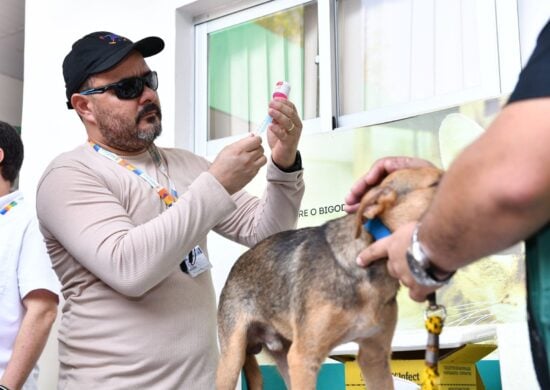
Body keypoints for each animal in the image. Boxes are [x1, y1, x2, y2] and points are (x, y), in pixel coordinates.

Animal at [216, 166, 444, 388]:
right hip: (233, 361)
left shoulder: (374, 356)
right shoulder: (304, 358)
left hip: (284, 356)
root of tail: (235, 268)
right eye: (437, 183)